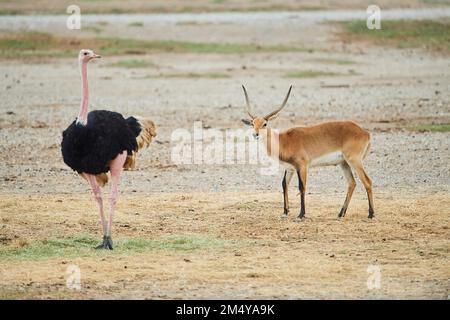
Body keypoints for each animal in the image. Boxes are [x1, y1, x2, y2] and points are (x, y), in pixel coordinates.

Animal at [241, 85, 374, 220]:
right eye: (252, 123)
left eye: (265, 124)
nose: (255, 134)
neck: (284, 141)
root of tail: (365, 132)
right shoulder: (290, 168)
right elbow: (284, 184)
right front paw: (285, 212)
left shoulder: (302, 166)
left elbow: (302, 187)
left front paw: (301, 214)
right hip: (344, 163)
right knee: (352, 183)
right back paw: (341, 213)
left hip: (354, 160)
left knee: (367, 181)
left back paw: (371, 214)